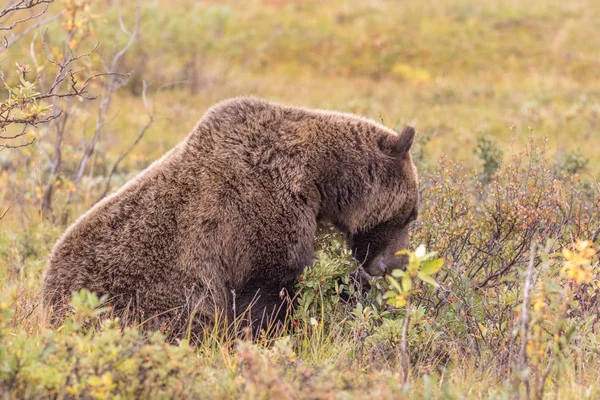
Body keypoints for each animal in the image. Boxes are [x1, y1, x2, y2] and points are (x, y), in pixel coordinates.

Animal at [41, 96, 418, 338]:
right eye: (410, 215)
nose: (397, 266)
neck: (318, 179)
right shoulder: (256, 215)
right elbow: (268, 292)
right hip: (123, 297)